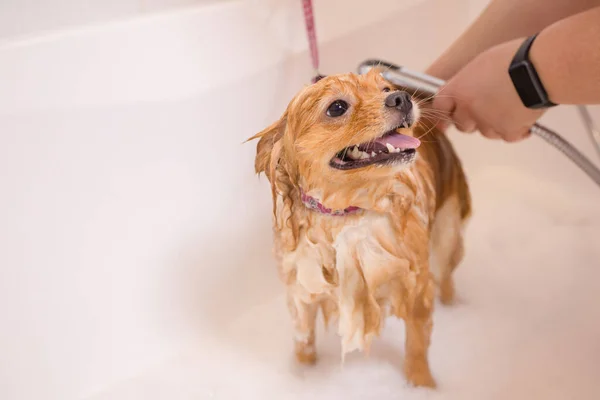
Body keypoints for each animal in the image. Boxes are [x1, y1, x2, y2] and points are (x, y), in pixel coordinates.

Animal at [246, 69, 472, 388]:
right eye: (337, 107)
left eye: (385, 89)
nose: (401, 97)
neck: (349, 213)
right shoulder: (301, 289)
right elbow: (304, 340)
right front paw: (303, 372)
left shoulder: (416, 286)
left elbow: (417, 344)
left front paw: (422, 384)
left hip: (445, 239)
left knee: (447, 279)